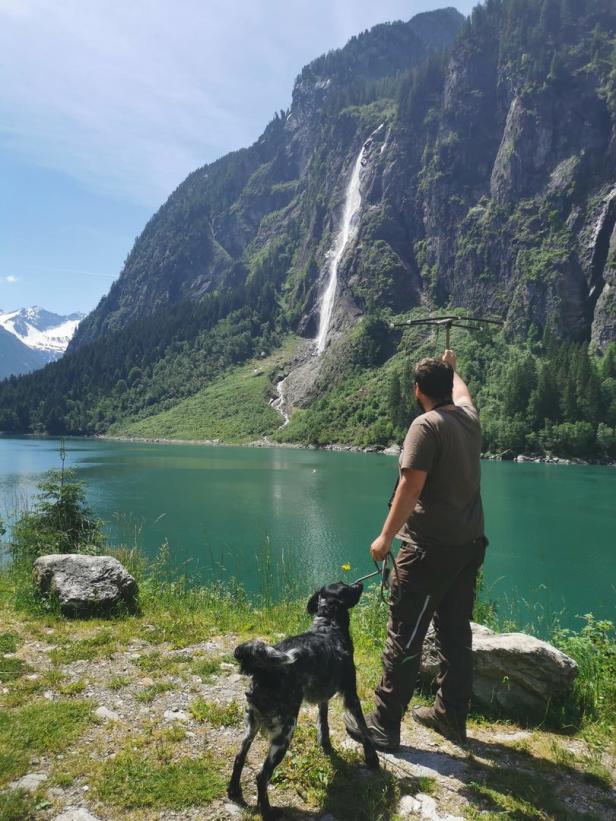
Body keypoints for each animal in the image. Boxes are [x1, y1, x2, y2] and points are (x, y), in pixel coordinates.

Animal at [227, 580, 378, 816]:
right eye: (346, 586)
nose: (360, 583)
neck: (328, 626)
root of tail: (264, 669)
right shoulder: (351, 695)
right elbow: (363, 727)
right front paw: (372, 757)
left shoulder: (323, 696)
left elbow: (323, 723)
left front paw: (326, 745)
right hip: (284, 733)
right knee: (261, 776)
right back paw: (268, 811)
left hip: (250, 725)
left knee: (239, 756)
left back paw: (234, 790)